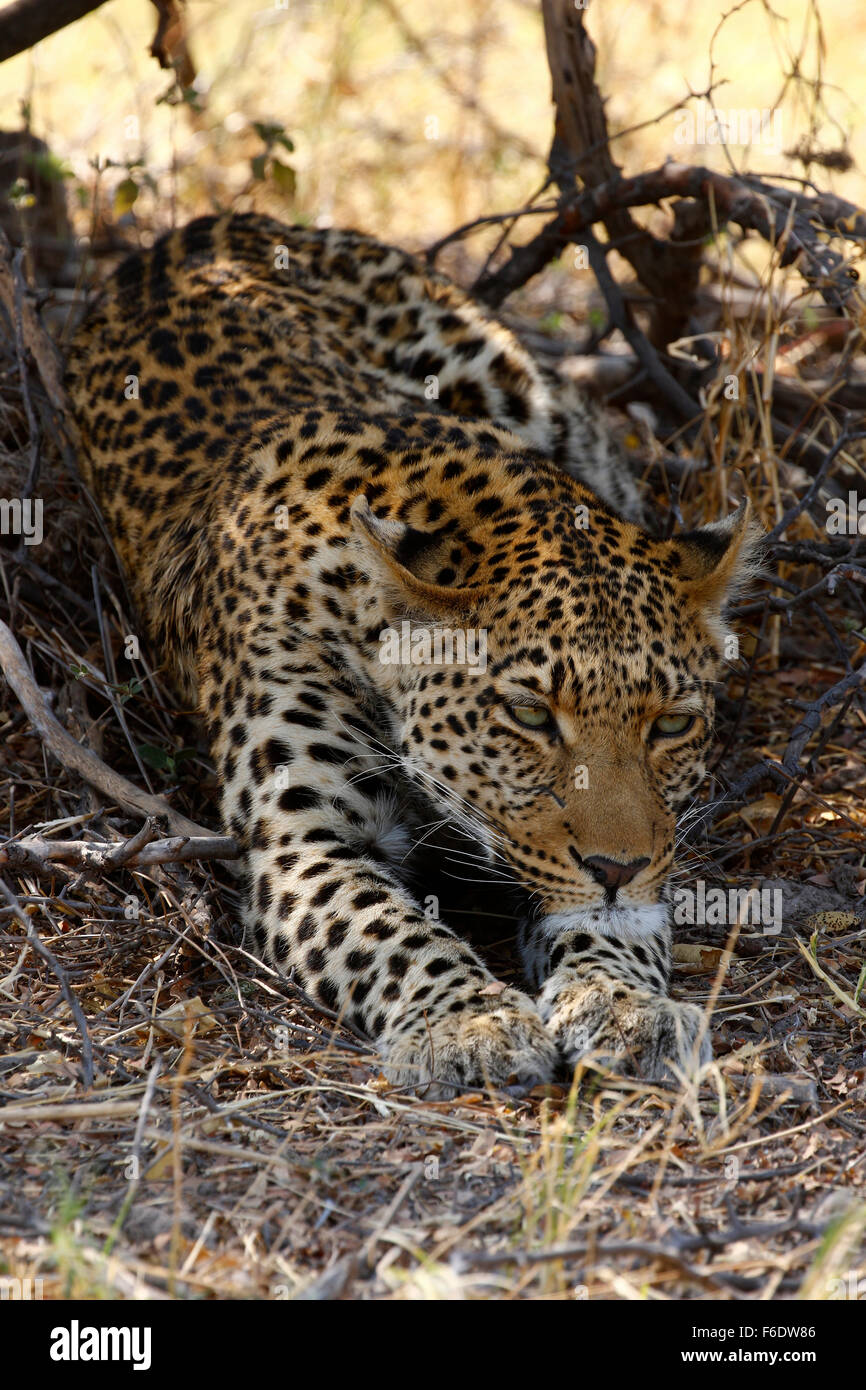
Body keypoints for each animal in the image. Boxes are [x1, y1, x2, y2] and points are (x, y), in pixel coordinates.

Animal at [67, 208, 756, 1095]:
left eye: (670, 724)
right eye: (529, 715)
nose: (617, 866)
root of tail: (206, 226)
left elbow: (615, 925)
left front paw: (626, 1004)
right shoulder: (305, 841)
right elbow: (387, 932)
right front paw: (469, 1022)